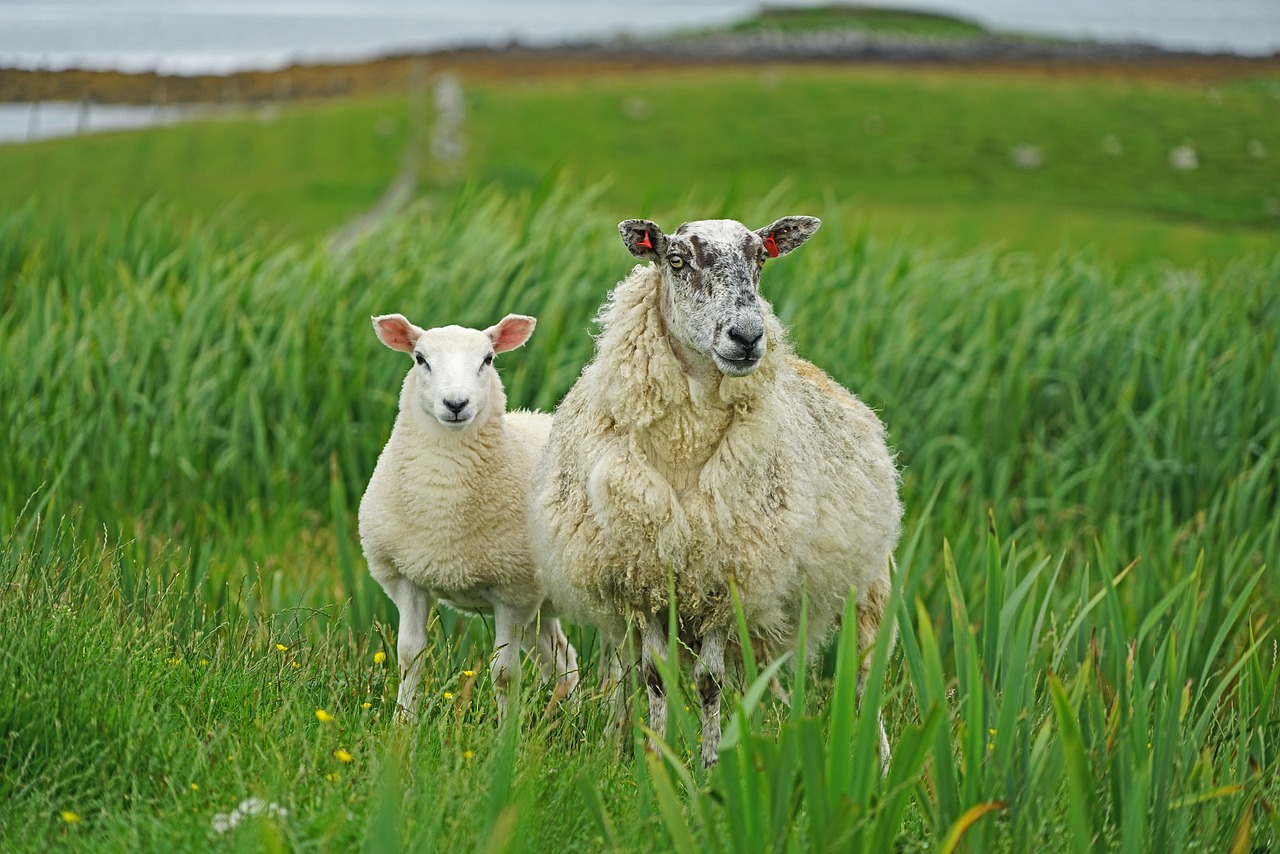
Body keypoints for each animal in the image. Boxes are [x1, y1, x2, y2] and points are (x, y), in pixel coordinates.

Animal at [359, 312, 579, 718]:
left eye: (488, 359)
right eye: (420, 359)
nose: (456, 403)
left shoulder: (513, 592)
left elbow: (504, 673)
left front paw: (506, 732)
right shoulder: (406, 578)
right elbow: (409, 656)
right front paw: (403, 723)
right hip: (543, 607)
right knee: (563, 662)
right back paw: (567, 722)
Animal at [529, 216, 902, 768]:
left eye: (761, 258)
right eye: (677, 259)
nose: (747, 336)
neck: (685, 445)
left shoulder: (725, 577)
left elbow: (708, 683)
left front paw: (708, 768)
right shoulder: (645, 579)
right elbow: (655, 677)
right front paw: (654, 762)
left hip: (867, 587)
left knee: (864, 679)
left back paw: (879, 766)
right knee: (627, 677)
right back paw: (619, 743)